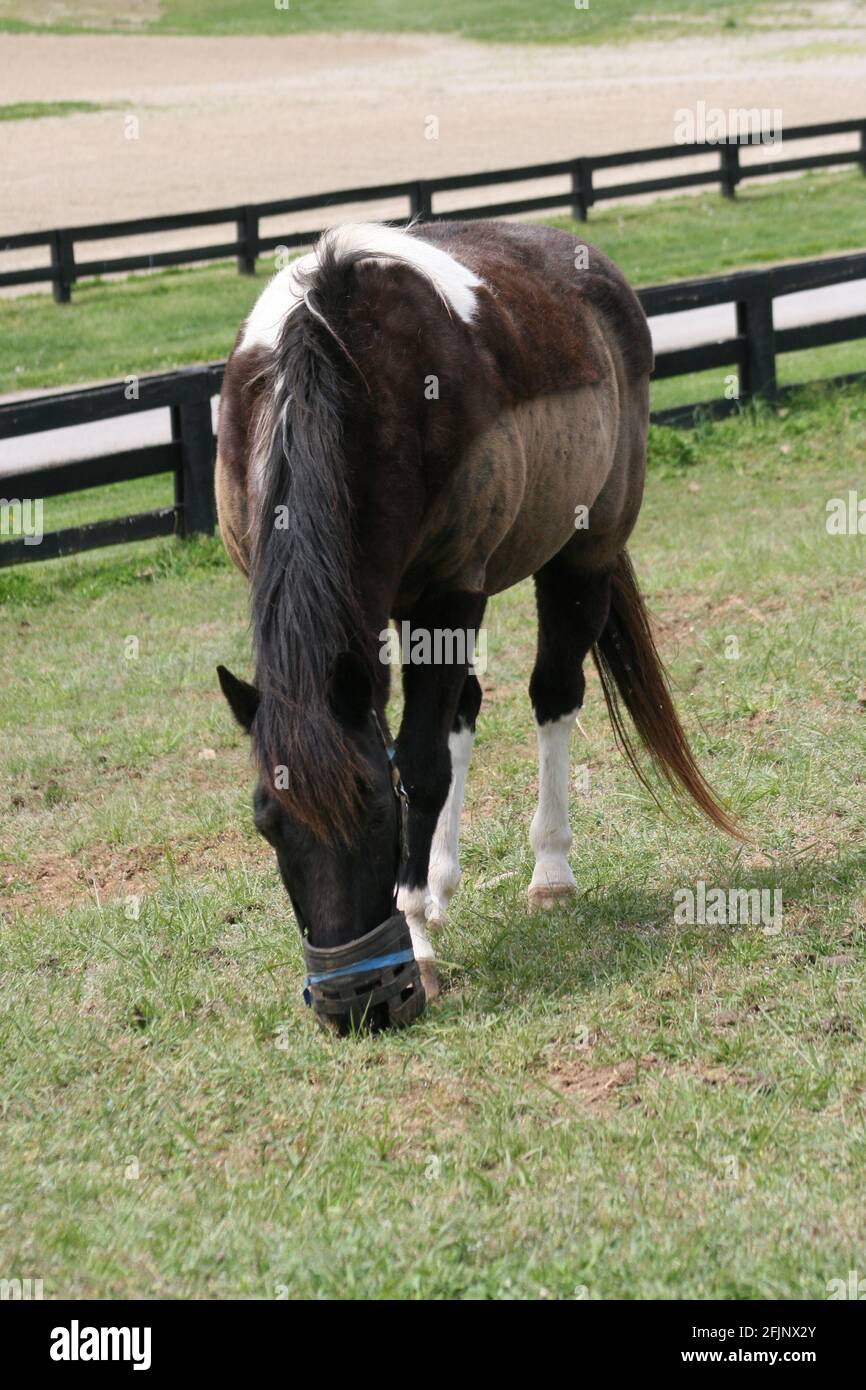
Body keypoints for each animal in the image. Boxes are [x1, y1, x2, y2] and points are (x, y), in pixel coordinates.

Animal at [215, 219, 738, 1031]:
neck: (338, 360)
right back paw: (441, 881)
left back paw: (548, 871)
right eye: (266, 821)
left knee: (552, 694)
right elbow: (421, 744)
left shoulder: (451, 594)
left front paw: (420, 944)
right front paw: (423, 902)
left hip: (583, 553)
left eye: (376, 813)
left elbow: (420, 765)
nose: (353, 1002)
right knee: (464, 709)